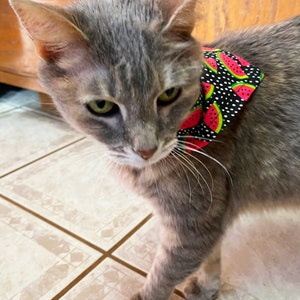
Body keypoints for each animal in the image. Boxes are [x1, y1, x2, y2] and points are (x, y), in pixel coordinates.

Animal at [9, 0, 300, 298]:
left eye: (169, 94)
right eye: (101, 106)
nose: (146, 150)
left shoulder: (195, 222)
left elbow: (165, 271)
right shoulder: (211, 216)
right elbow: (211, 256)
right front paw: (206, 287)